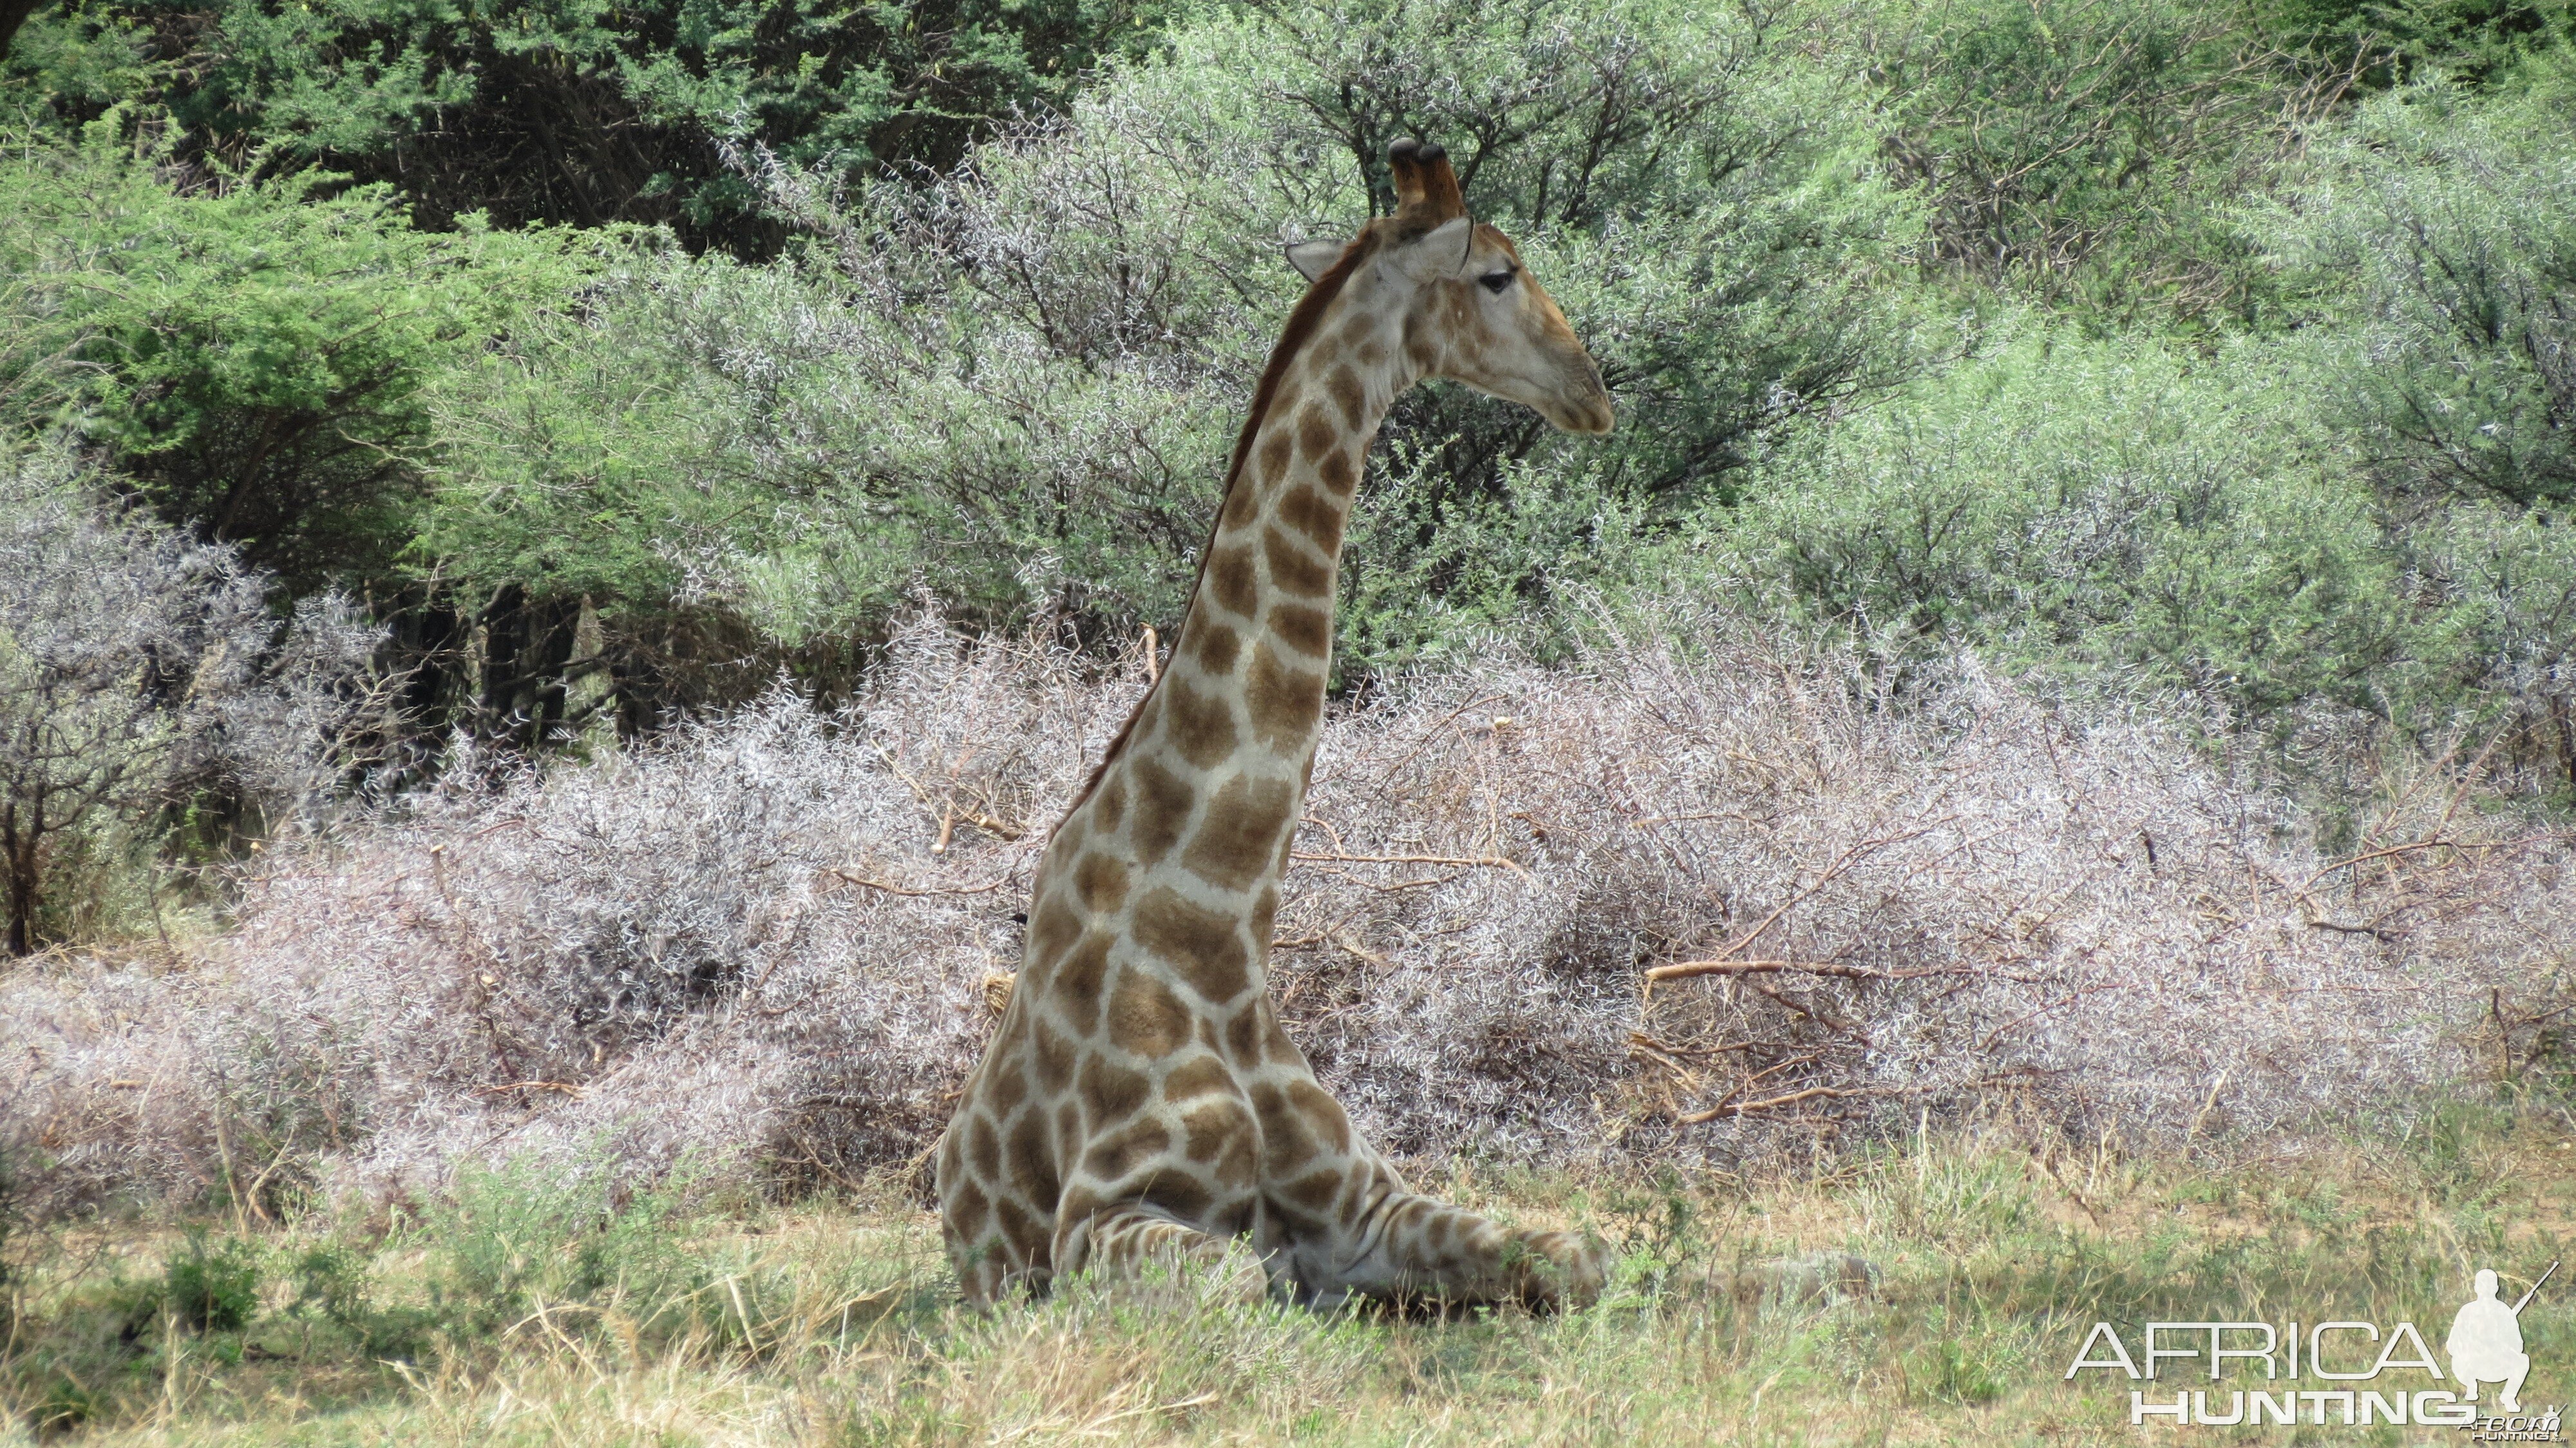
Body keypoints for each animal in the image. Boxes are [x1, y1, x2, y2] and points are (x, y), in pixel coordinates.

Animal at [933, 144, 1607, 1309]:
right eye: (1498, 275)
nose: (1595, 394)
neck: (1219, 923)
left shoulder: (1364, 1198)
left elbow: (1577, 1252)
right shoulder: (1095, 1220)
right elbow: (1247, 1279)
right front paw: (1292, 1276)